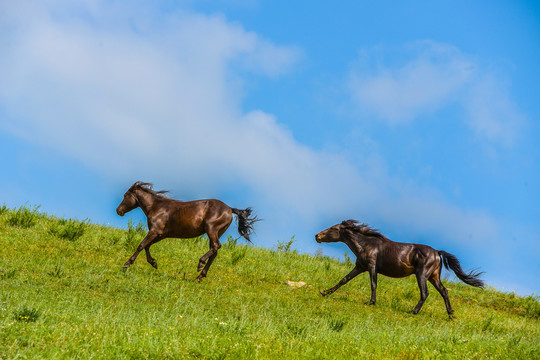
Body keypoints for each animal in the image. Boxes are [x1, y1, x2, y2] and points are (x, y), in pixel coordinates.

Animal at [116, 181, 260, 280]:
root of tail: (230, 209)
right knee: (214, 251)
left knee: (216, 246)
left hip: (211, 229)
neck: (157, 207)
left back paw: (200, 264)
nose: (118, 211)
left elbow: (141, 245)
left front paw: (126, 264)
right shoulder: (161, 234)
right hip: (216, 232)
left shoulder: (155, 231)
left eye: (125, 195)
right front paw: (154, 263)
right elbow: (147, 246)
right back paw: (200, 276)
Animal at [314, 219, 484, 316]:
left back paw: (413, 311)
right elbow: (343, 280)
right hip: (433, 276)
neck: (365, 244)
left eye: (333, 228)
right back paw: (450, 314)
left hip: (422, 274)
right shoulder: (360, 267)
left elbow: (373, 284)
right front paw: (324, 292)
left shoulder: (371, 267)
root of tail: (437, 252)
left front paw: (371, 302)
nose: (317, 236)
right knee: (444, 291)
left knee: (425, 293)